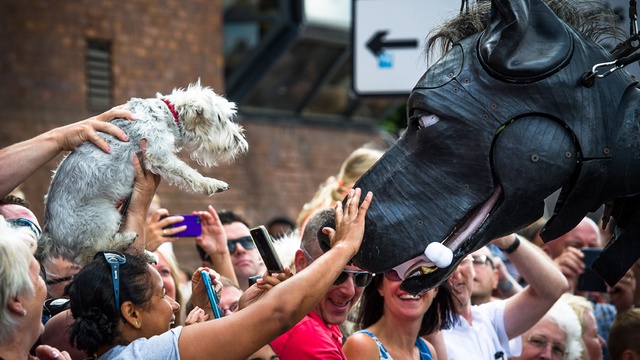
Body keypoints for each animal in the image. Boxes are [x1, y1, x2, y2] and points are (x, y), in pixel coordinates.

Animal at [42, 80, 248, 262]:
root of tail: (50, 235)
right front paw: (213, 184)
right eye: (220, 119)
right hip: (104, 217)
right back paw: (124, 241)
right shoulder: (159, 155)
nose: (240, 140)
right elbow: (188, 172)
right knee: (88, 254)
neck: (168, 114)